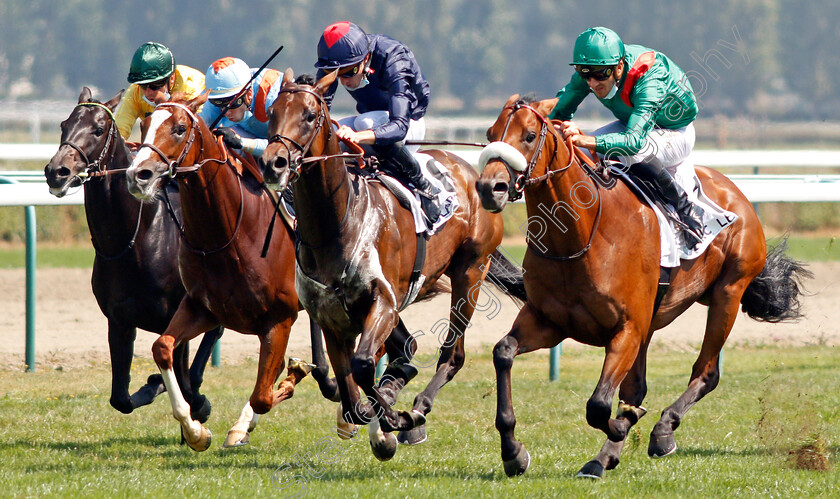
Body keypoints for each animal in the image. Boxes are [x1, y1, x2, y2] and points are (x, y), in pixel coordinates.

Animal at [44, 88, 221, 424]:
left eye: (98, 129)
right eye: (63, 125)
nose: (56, 171)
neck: (136, 241)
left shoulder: (175, 317)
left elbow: (186, 385)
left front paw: (198, 406)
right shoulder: (119, 321)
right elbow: (121, 399)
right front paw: (153, 384)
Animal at [126, 94, 316, 454]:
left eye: (180, 128)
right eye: (143, 125)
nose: (137, 175)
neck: (228, 234)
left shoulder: (280, 318)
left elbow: (263, 395)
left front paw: (293, 377)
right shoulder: (202, 307)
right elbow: (162, 347)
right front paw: (195, 431)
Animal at [262, 69, 524, 460]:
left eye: (309, 115)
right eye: (272, 113)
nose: (273, 162)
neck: (338, 223)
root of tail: (469, 169)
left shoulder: (382, 302)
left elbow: (363, 366)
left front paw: (394, 419)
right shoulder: (330, 317)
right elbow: (351, 394)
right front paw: (378, 417)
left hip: (470, 271)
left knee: (452, 354)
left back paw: (417, 409)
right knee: (408, 349)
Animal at [476, 94, 812, 480]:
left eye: (530, 136)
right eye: (490, 134)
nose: (489, 188)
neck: (580, 236)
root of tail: (735, 193)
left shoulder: (627, 329)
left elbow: (598, 405)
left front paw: (624, 424)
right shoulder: (551, 322)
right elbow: (503, 352)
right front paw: (513, 452)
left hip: (727, 293)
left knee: (706, 372)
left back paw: (662, 432)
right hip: (655, 321)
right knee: (637, 386)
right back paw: (605, 455)